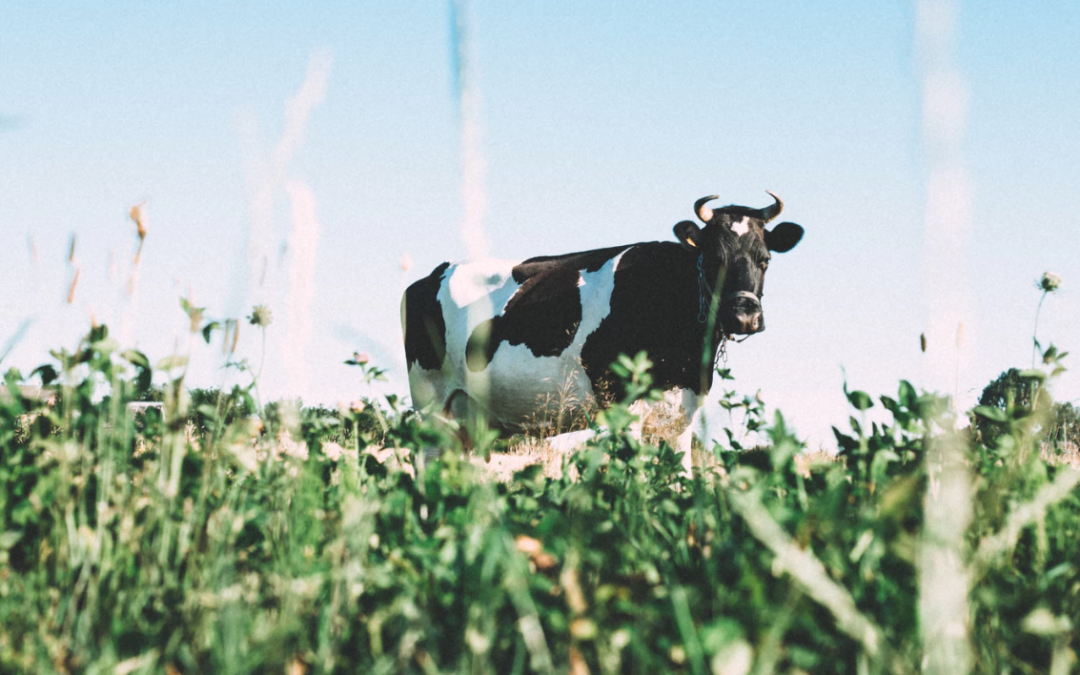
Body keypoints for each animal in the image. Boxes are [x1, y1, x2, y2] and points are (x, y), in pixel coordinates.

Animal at [403, 192, 803, 470]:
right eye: (714, 259)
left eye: (765, 259)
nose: (744, 316)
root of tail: (432, 274)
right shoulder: (623, 403)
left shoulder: (683, 413)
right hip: (431, 403)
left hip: (469, 419)